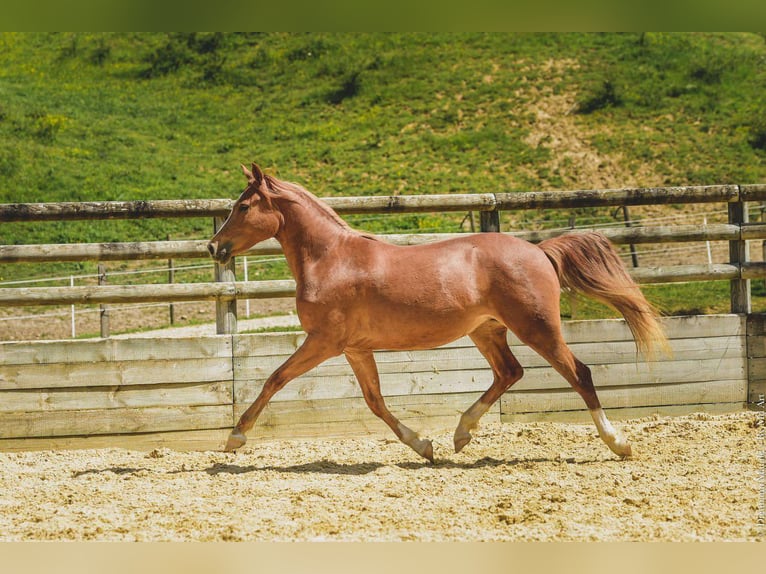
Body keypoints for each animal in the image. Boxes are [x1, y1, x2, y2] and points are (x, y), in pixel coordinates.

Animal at [208, 163, 664, 464]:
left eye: (244, 207)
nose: (214, 247)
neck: (330, 259)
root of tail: (539, 250)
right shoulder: (355, 349)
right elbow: (375, 402)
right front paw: (424, 446)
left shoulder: (324, 342)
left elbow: (275, 378)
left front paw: (235, 438)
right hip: (487, 331)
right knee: (510, 372)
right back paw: (462, 434)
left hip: (537, 327)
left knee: (579, 373)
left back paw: (619, 444)